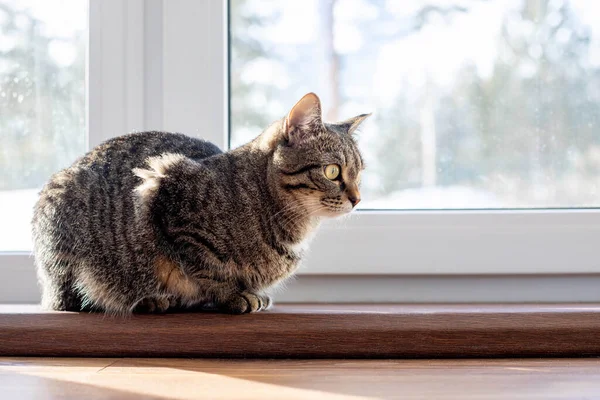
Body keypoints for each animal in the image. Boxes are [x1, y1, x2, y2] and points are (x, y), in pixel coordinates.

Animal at [32, 92, 370, 314]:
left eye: (359, 172)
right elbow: (205, 268)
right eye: (332, 171)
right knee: (76, 299)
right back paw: (149, 300)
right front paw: (233, 295)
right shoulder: (166, 197)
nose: (357, 199)